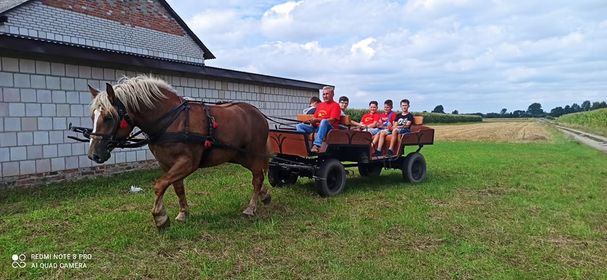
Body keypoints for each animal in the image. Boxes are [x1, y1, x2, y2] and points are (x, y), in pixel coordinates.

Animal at [86, 75, 272, 230]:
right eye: (93, 117)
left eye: (109, 117)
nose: (93, 155)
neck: (171, 120)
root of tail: (258, 113)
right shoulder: (167, 163)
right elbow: (177, 187)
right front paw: (183, 213)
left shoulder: (188, 162)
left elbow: (160, 185)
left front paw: (160, 217)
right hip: (238, 155)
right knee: (257, 174)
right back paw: (264, 195)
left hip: (253, 152)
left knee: (257, 177)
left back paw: (251, 207)